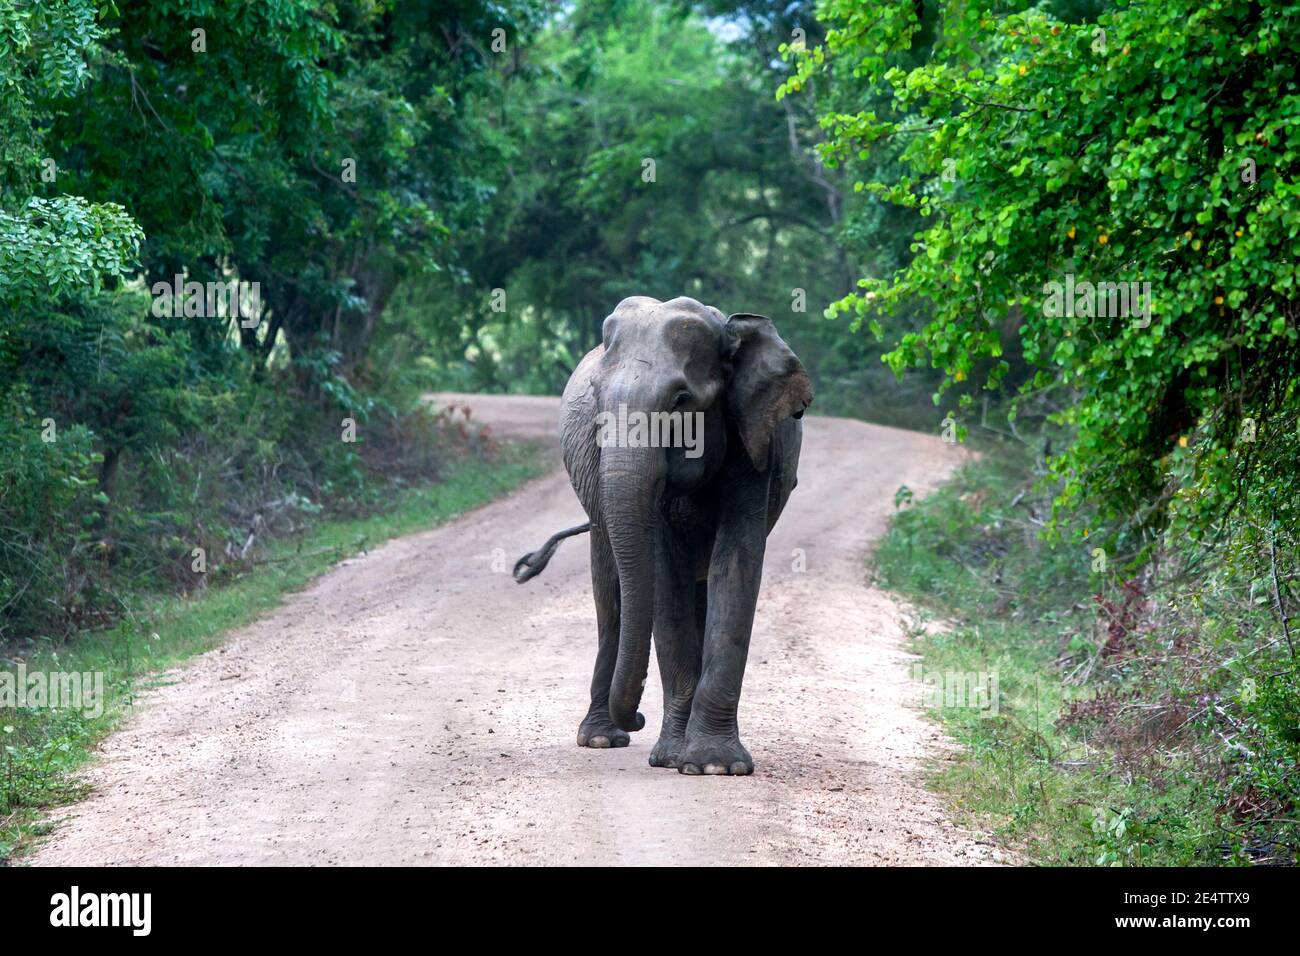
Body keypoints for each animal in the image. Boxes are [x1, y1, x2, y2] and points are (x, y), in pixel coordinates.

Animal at [509, 295, 806, 775]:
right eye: (596, 397)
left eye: (682, 401)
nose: (638, 718)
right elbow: (667, 581)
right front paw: (672, 760)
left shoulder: (755, 441)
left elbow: (736, 565)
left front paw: (714, 766)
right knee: (610, 594)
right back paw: (600, 740)